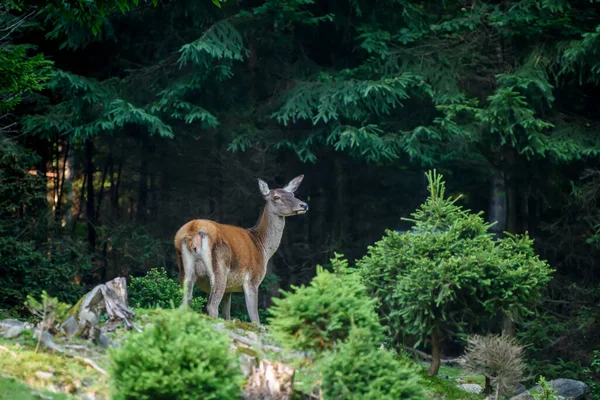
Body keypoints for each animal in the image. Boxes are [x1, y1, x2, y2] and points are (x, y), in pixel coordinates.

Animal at [171, 173, 308, 324]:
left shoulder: (229, 288)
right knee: (212, 306)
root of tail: (193, 229)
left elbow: (227, 315)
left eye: (292, 194)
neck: (263, 247)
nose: (304, 204)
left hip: (184, 271)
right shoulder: (252, 280)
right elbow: (255, 319)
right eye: (276, 197)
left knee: (184, 304)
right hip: (219, 269)